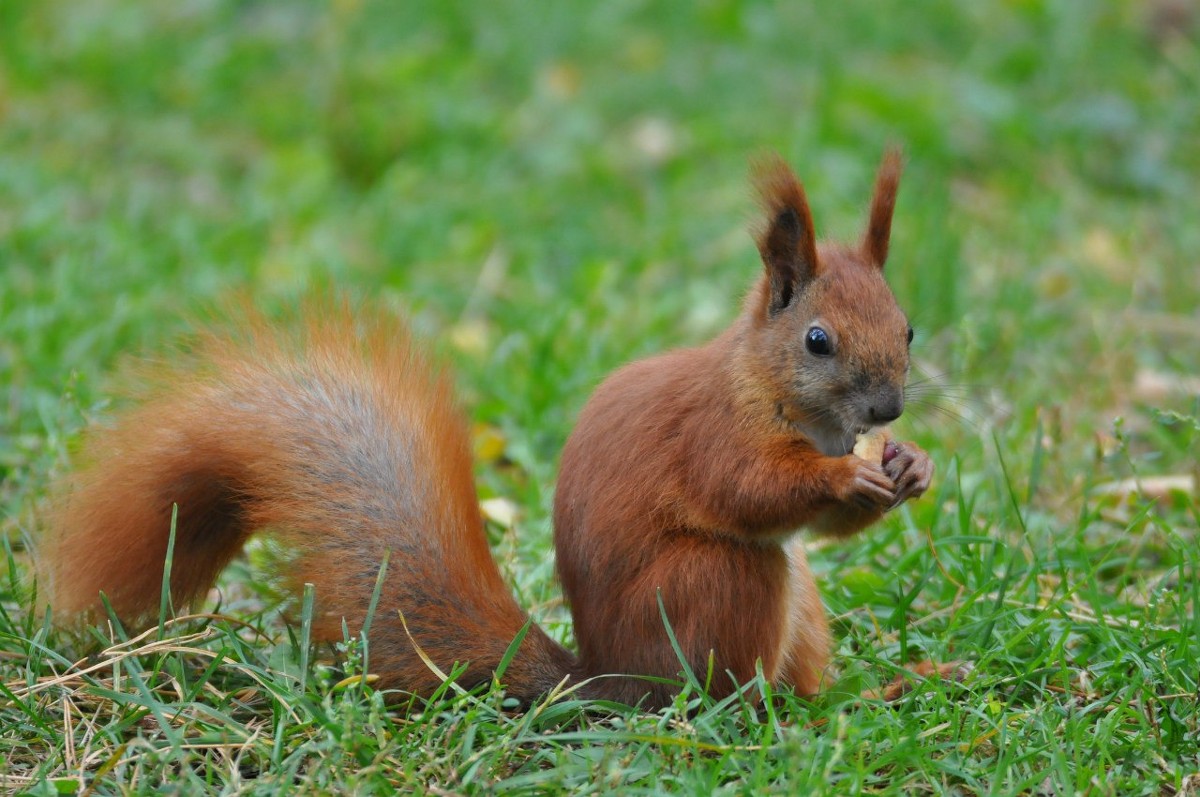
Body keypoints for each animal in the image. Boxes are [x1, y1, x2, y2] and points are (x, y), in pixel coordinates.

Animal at [42, 151, 931, 710]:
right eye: (817, 340)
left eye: (909, 327)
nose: (889, 409)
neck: (779, 396)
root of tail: (607, 681)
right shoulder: (710, 432)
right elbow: (747, 488)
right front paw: (849, 474)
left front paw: (910, 466)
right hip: (719, 582)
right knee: (725, 671)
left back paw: (868, 690)